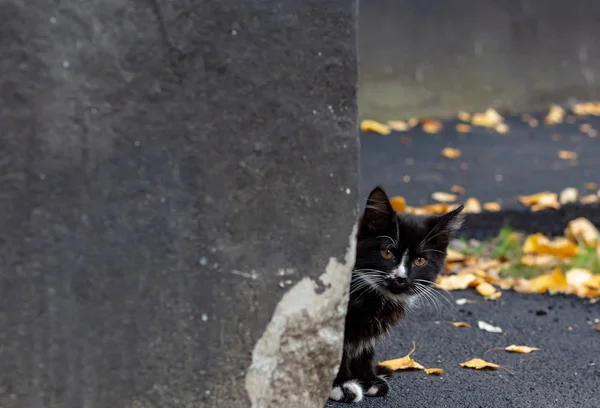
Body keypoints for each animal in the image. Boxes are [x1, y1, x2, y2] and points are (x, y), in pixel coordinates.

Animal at [328, 186, 464, 404]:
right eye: (387, 253)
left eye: (419, 261)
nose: (400, 277)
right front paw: (341, 385)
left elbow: (365, 348)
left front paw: (368, 380)